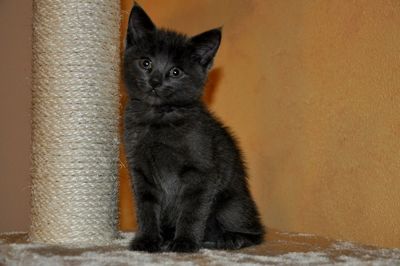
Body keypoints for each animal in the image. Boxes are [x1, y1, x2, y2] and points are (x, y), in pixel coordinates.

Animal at [123, 4, 264, 252]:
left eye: (175, 72)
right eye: (146, 63)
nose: (155, 81)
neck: (158, 120)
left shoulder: (201, 172)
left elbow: (192, 210)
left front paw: (185, 242)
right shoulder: (139, 170)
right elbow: (145, 207)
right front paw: (147, 240)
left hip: (231, 205)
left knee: (256, 231)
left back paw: (231, 238)